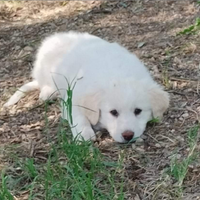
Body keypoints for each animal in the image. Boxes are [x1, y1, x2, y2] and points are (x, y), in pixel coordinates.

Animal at [4, 31, 169, 142]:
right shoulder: (72, 99)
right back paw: (47, 92)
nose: (128, 135)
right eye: (113, 112)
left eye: (138, 111)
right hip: (45, 70)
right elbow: (78, 116)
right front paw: (84, 134)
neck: (117, 74)